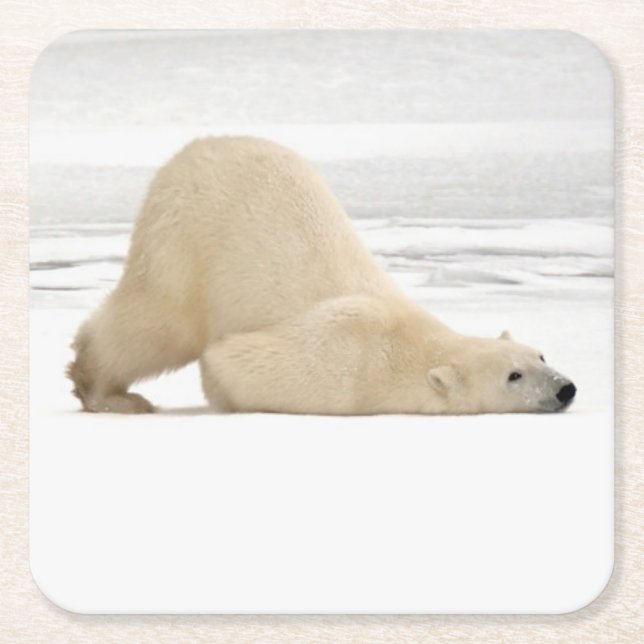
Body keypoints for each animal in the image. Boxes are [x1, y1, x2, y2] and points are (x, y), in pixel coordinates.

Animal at [67, 136, 576, 415]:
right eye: (513, 375)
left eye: (541, 354)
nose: (565, 388)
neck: (407, 344)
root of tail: (194, 149)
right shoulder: (345, 363)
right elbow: (229, 359)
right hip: (186, 240)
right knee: (156, 323)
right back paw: (107, 392)